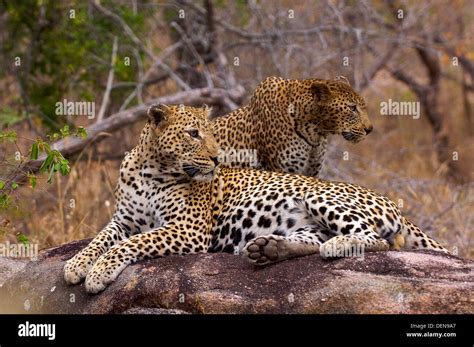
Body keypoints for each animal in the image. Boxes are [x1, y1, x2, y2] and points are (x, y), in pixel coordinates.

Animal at [64, 104, 448, 294]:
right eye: (193, 133)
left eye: (210, 133)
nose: (217, 158)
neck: (150, 168)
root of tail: (390, 200)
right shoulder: (123, 220)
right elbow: (101, 238)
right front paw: (76, 264)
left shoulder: (187, 229)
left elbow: (129, 244)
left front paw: (99, 272)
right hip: (306, 223)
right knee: (310, 240)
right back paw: (268, 249)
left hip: (317, 195)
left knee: (375, 239)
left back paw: (336, 246)